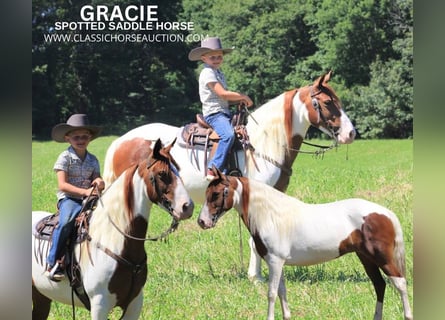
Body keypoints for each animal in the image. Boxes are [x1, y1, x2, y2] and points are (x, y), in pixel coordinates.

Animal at [32, 139, 195, 320]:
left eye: (178, 169)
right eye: (161, 173)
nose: (187, 206)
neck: (113, 240)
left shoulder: (134, 303)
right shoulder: (100, 304)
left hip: (41, 297)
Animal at [198, 168, 412, 320]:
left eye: (216, 194)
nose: (202, 222)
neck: (272, 216)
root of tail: (385, 213)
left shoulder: (275, 262)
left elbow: (272, 293)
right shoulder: (278, 263)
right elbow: (282, 292)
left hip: (382, 258)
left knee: (400, 283)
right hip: (366, 258)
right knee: (379, 285)